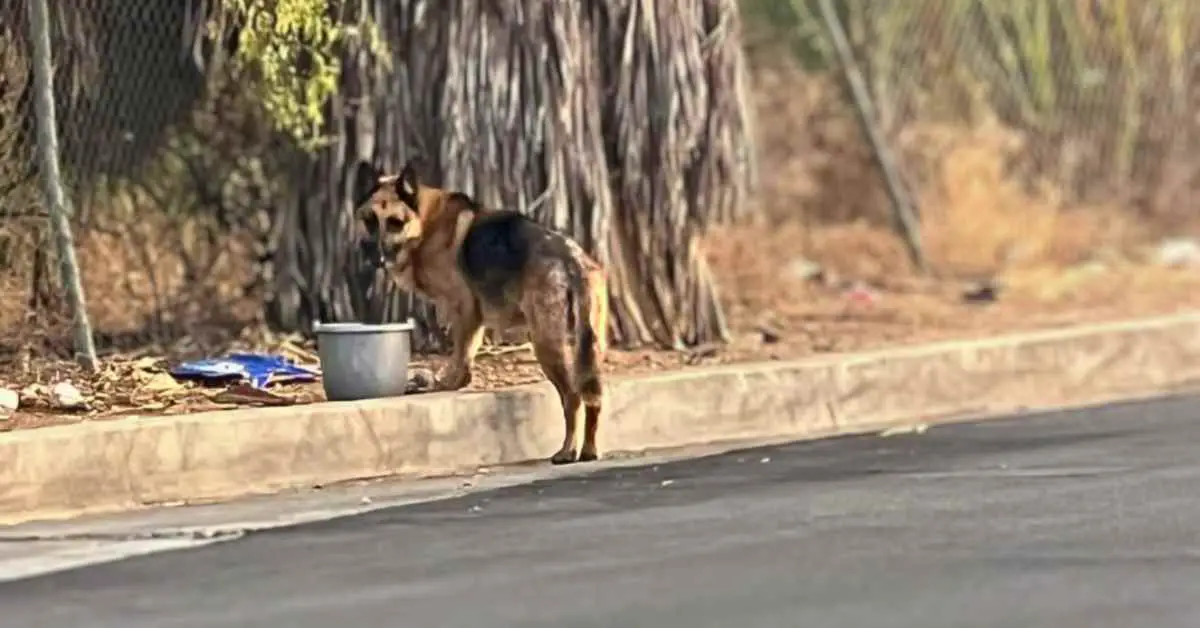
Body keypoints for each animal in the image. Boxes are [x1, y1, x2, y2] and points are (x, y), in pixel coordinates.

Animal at [350, 160, 604, 465]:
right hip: (587, 348)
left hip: (548, 345)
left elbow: (459, 356)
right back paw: (589, 449)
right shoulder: (472, 316)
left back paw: (567, 450)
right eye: (369, 220)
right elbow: (465, 358)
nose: (376, 257)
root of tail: (571, 259)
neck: (425, 223)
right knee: (593, 398)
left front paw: (445, 383)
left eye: (395, 223)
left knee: (573, 398)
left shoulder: (463, 309)